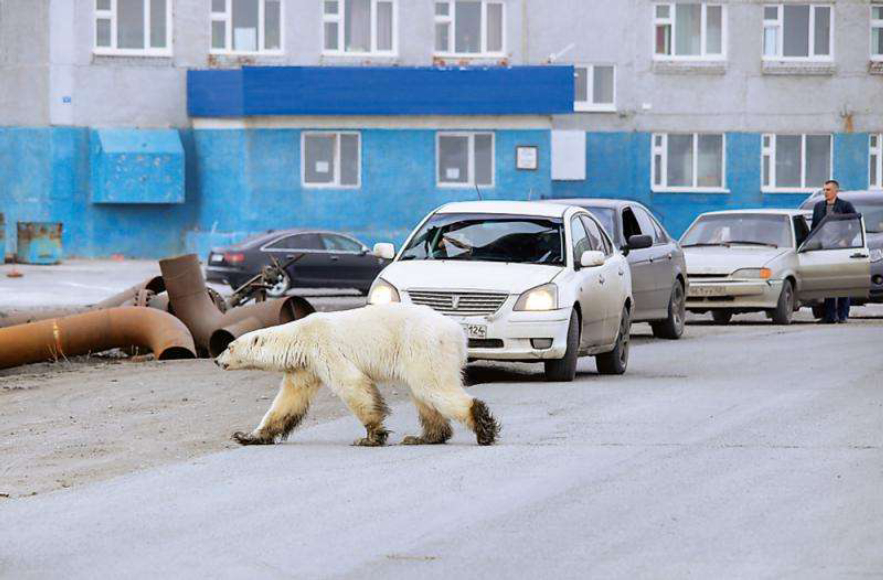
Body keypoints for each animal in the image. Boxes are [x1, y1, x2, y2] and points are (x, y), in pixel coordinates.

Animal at [215, 304, 500, 448]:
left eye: (229, 346)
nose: (217, 360)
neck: (300, 335)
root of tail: (458, 332)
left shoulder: (324, 348)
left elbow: (352, 384)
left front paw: (370, 437)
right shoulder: (304, 366)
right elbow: (288, 401)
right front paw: (248, 436)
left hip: (424, 346)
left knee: (433, 388)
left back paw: (483, 427)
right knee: (423, 395)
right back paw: (423, 437)